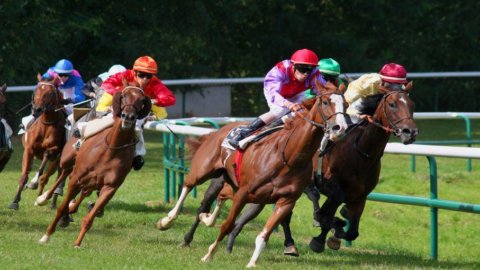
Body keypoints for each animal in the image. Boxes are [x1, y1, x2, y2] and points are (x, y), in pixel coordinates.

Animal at [8, 75, 66, 210]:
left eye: (50, 93)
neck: (46, 124)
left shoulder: (54, 150)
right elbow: (24, 176)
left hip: (58, 160)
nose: (37, 109)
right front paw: (15, 201)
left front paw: (33, 183)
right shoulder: (29, 150)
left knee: (53, 177)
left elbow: (45, 159)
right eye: (36, 90)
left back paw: (49, 201)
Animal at [38, 81, 151, 247]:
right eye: (123, 95)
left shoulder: (110, 187)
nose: (128, 116)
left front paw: (77, 243)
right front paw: (46, 235)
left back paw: (72, 206)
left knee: (84, 191)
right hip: (68, 160)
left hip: (93, 181)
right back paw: (43, 198)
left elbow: (90, 217)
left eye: (142, 100)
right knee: (64, 173)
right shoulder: (77, 178)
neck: (111, 149)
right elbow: (61, 207)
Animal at [158, 83, 348, 268]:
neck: (289, 156)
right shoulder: (244, 193)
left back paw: (207, 218)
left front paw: (252, 262)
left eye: (345, 105)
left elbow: (264, 235)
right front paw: (209, 255)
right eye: (326, 102)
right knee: (188, 186)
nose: (340, 129)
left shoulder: (285, 201)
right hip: (204, 171)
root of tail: (216, 132)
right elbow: (227, 225)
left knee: (219, 197)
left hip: (233, 183)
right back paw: (167, 220)